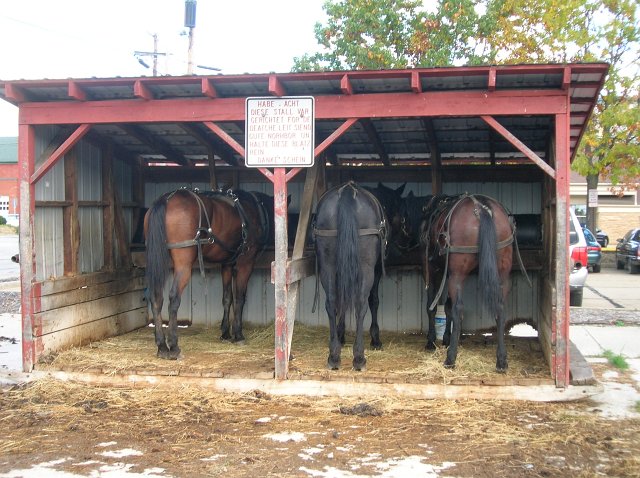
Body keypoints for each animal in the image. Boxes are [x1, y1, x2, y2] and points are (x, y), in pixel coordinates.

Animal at [142, 187, 270, 358]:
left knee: (155, 298)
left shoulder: (227, 264)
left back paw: (162, 346)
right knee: (173, 298)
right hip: (183, 265)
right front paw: (238, 334)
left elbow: (227, 297)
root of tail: (166, 199)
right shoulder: (246, 263)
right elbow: (239, 298)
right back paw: (174, 346)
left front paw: (225, 333)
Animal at [314, 181, 388, 372]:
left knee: (332, 302)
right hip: (367, 268)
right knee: (361, 304)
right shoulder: (376, 270)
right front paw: (376, 340)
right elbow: (373, 301)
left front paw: (340, 335)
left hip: (328, 266)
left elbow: (342, 302)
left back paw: (334, 357)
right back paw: (359, 358)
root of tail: (347, 192)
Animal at [420, 192, 516, 372]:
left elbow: (432, 306)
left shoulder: (432, 269)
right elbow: (447, 306)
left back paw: (450, 358)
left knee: (458, 308)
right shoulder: (448, 273)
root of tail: (482, 208)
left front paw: (432, 341)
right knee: (500, 308)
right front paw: (446, 338)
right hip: (502, 273)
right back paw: (501, 360)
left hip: (457, 274)